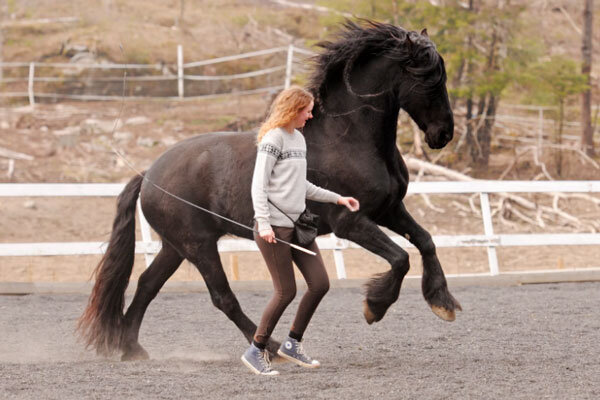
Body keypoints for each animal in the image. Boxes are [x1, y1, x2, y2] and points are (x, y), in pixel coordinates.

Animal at [79, 21, 462, 360]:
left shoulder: (389, 210)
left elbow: (426, 241)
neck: (348, 138)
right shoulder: (351, 223)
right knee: (222, 297)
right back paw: (273, 348)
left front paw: (442, 302)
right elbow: (400, 258)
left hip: (175, 247)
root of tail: (149, 174)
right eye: (427, 78)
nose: (443, 134)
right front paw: (374, 307)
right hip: (198, 246)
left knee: (147, 285)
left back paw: (132, 349)